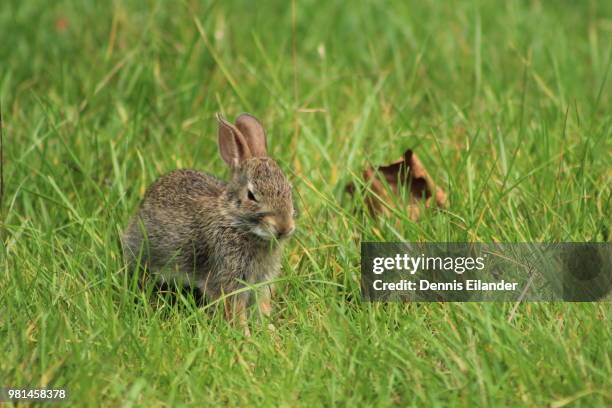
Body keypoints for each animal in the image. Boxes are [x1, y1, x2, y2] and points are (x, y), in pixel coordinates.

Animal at [120, 113, 296, 334]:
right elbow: (236, 311)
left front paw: (270, 333)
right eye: (251, 195)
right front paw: (245, 335)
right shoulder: (227, 279)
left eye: (289, 190)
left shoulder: (262, 281)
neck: (236, 222)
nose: (284, 228)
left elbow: (262, 307)